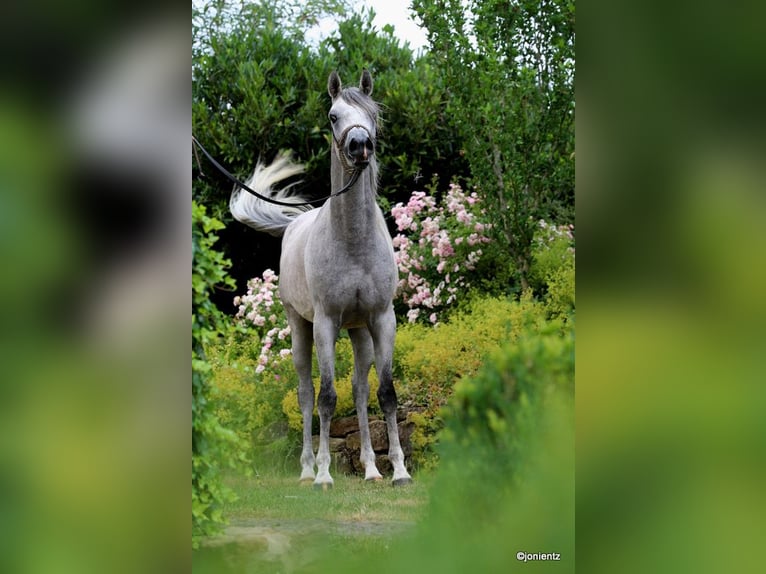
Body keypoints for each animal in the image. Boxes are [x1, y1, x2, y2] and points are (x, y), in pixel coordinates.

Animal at [230, 70, 412, 488]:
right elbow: (327, 396)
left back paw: (371, 469)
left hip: (359, 332)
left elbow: (386, 393)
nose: (360, 146)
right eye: (333, 116)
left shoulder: (383, 319)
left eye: (372, 114)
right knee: (305, 392)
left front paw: (399, 470)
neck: (353, 240)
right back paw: (306, 468)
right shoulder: (326, 323)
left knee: (360, 391)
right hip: (300, 329)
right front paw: (325, 474)